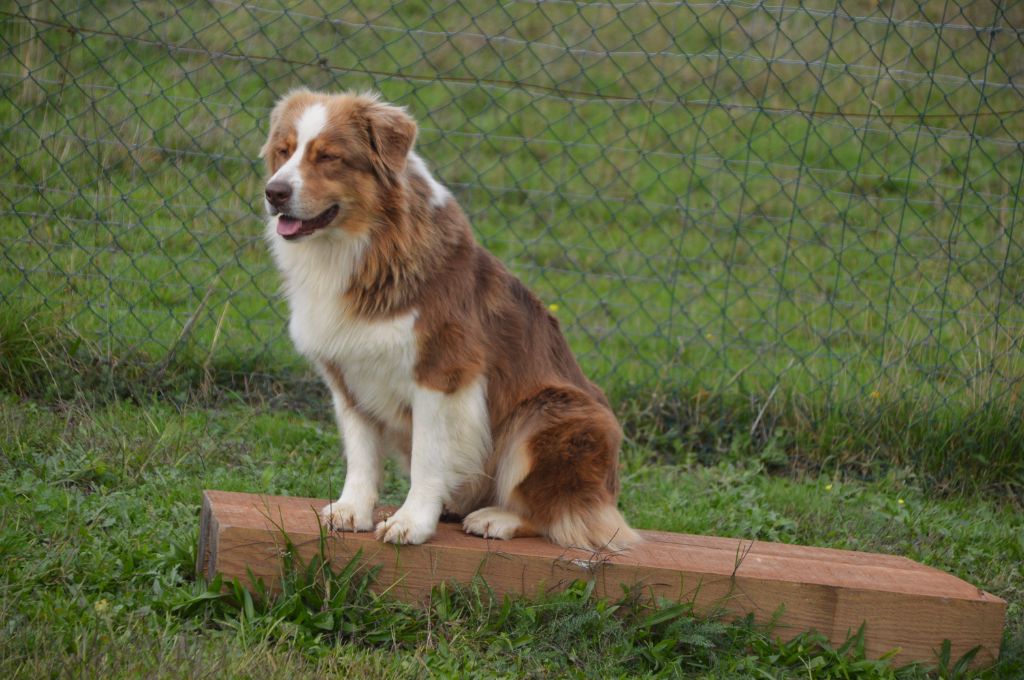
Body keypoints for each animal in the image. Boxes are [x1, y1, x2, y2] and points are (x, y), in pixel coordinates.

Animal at [260, 90, 634, 548]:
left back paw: (497, 518)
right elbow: (361, 453)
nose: (273, 192)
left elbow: (428, 456)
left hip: (554, 413)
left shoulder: (443, 372)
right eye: (284, 151)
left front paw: (412, 521)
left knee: (564, 514)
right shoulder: (347, 373)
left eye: (329, 156)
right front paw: (352, 509)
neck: (364, 249)